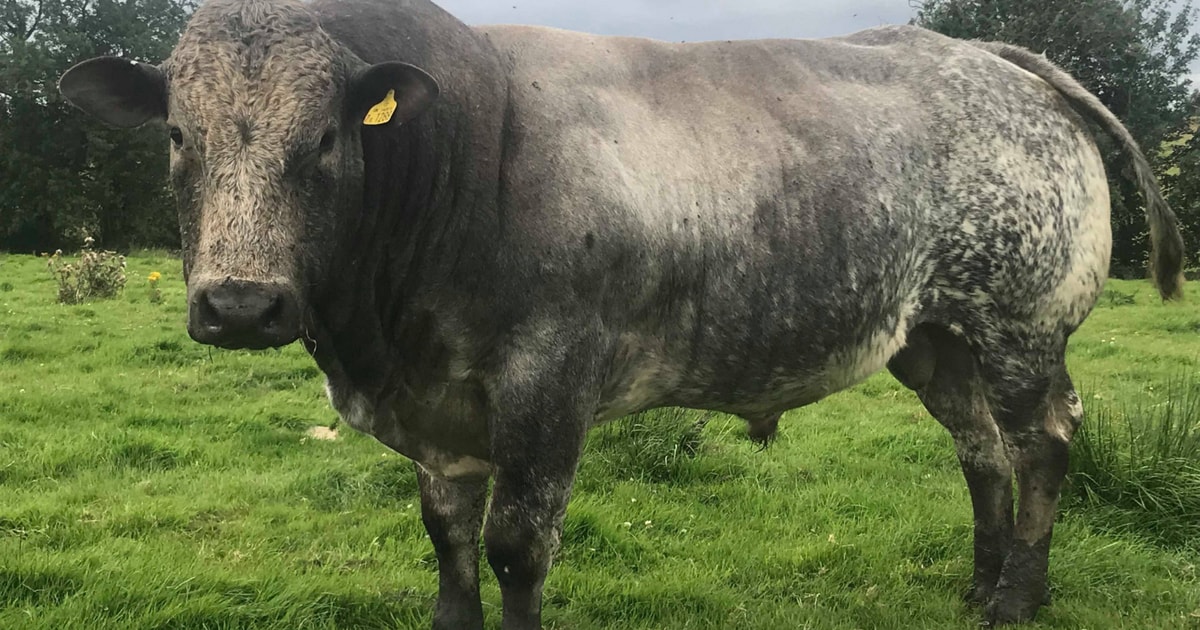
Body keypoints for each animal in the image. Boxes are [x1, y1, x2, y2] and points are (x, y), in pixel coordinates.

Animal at [58, 0, 1185, 627]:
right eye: (177, 135)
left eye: (329, 137)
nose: (241, 303)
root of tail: (988, 57)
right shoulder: (442, 416)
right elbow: (447, 539)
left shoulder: (548, 381)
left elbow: (517, 547)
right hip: (935, 339)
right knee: (981, 451)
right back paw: (978, 586)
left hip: (1022, 326)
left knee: (1040, 443)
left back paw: (1017, 598)